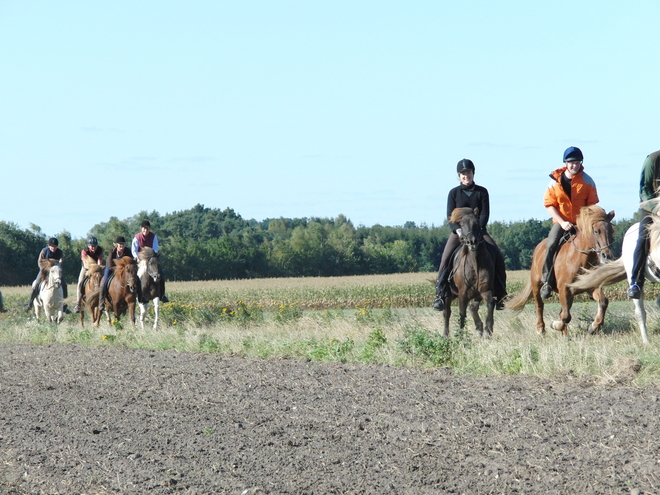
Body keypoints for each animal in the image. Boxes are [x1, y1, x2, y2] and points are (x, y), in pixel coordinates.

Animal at [444, 207, 496, 340]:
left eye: (477, 223)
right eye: (461, 224)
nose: (472, 242)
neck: (475, 264)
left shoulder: (485, 290)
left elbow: (490, 304)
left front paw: (487, 331)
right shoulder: (462, 294)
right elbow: (461, 315)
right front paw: (460, 337)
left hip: (476, 294)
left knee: (473, 307)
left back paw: (479, 328)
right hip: (448, 294)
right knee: (447, 312)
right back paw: (445, 335)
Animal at [502, 204, 616, 338]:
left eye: (612, 231)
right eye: (596, 231)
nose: (607, 256)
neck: (580, 259)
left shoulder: (589, 286)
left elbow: (603, 302)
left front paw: (593, 327)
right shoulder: (564, 288)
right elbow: (565, 316)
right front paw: (555, 325)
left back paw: (564, 334)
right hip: (536, 285)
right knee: (539, 305)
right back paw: (541, 329)